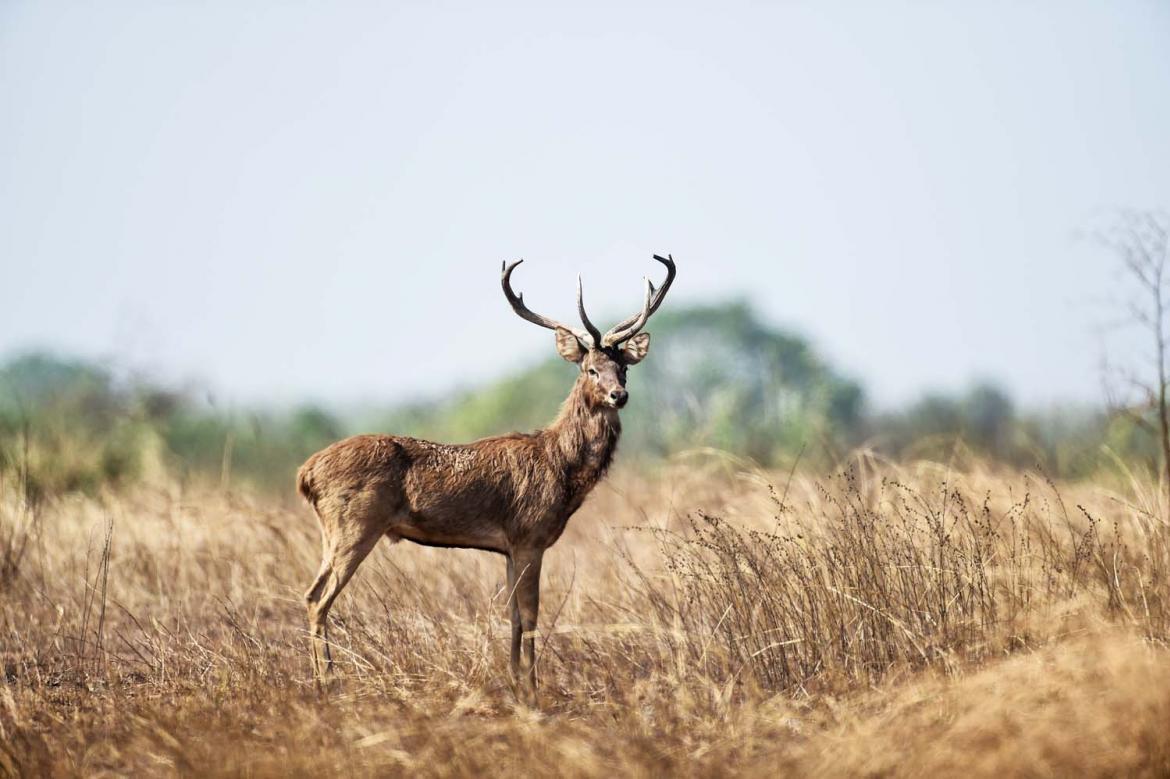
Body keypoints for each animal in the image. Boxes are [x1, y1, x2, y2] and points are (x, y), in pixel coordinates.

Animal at [294, 253, 678, 697]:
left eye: (623, 369)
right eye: (590, 369)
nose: (620, 395)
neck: (561, 469)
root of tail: (306, 473)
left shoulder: (509, 546)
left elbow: (512, 615)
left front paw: (514, 681)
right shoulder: (529, 535)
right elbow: (530, 615)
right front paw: (533, 688)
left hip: (334, 531)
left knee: (310, 594)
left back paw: (320, 677)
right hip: (355, 523)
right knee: (320, 599)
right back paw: (328, 679)